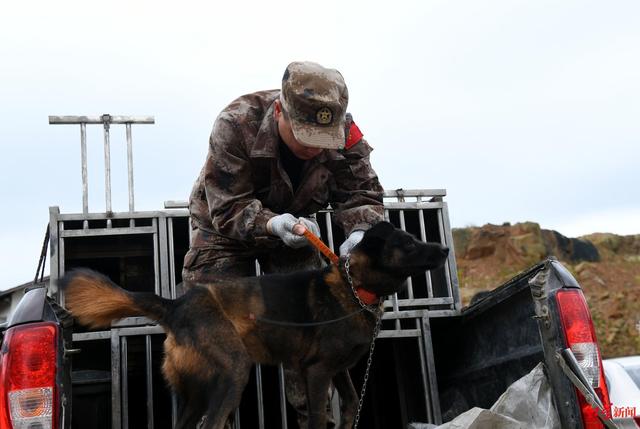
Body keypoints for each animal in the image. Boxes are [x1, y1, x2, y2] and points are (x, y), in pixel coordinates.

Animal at [61, 221, 450, 428]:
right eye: (409, 243)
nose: (445, 249)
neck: (354, 288)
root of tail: (176, 305)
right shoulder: (317, 372)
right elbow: (317, 417)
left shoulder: (338, 370)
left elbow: (353, 405)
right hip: (232, 373)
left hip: (195, 393)